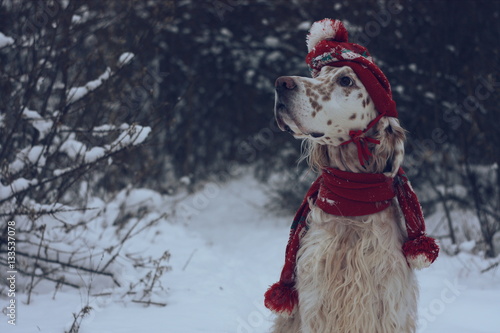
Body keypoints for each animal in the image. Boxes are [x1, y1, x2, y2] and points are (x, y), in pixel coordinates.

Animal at [266, 19, 438, 332]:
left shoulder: (387, 307)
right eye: (319, 74)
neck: (351, 202)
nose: (281, 83)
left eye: (346, 80)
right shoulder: (316, 305)